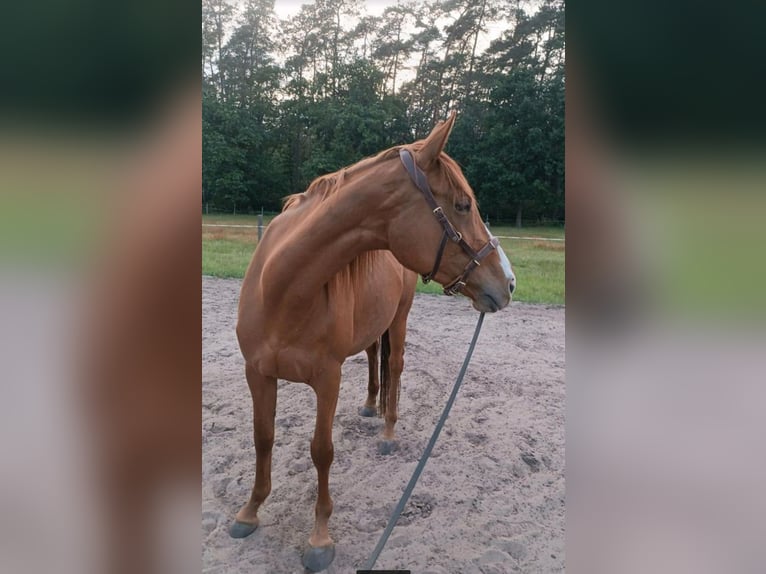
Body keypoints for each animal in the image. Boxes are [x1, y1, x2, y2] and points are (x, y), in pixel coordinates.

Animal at [228, 112, 516, 572]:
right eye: (462, 205)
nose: (507, 282)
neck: (282, 290)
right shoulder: (257, 374)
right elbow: (263, 438)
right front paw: (249, 512)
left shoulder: (327, 379)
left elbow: (321, 450)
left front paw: (320, 538)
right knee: (372, 356)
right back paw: (369, 405)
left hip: (399, 319)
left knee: (394, 366)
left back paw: (387, 432)